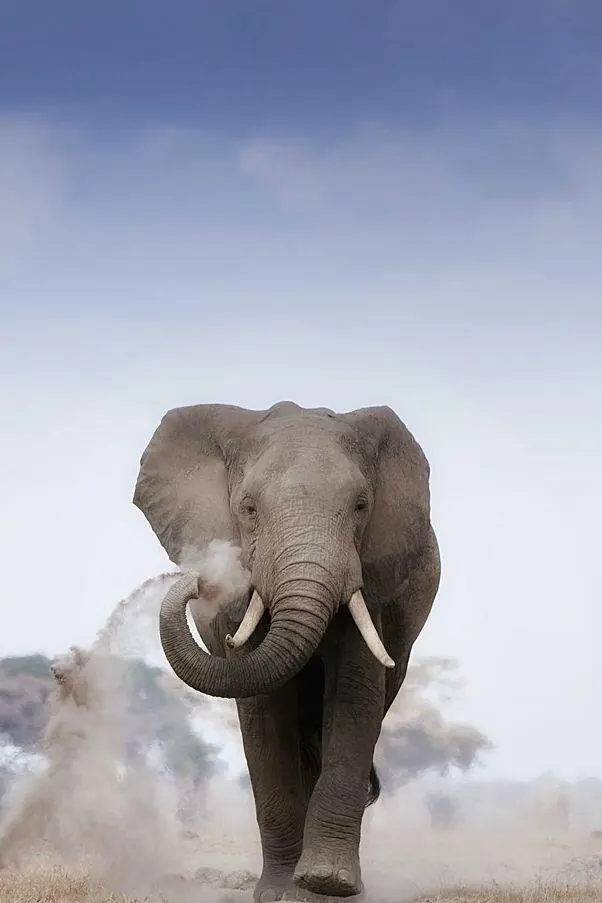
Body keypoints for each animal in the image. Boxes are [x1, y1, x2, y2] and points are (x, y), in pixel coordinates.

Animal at [133, 401, 441, 901]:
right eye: (248, 508)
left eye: (361, 507)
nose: (200, 582)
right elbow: (263, 709)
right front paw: (279, 893)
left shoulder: (372, 579)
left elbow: (354, 695)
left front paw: (327, 884)